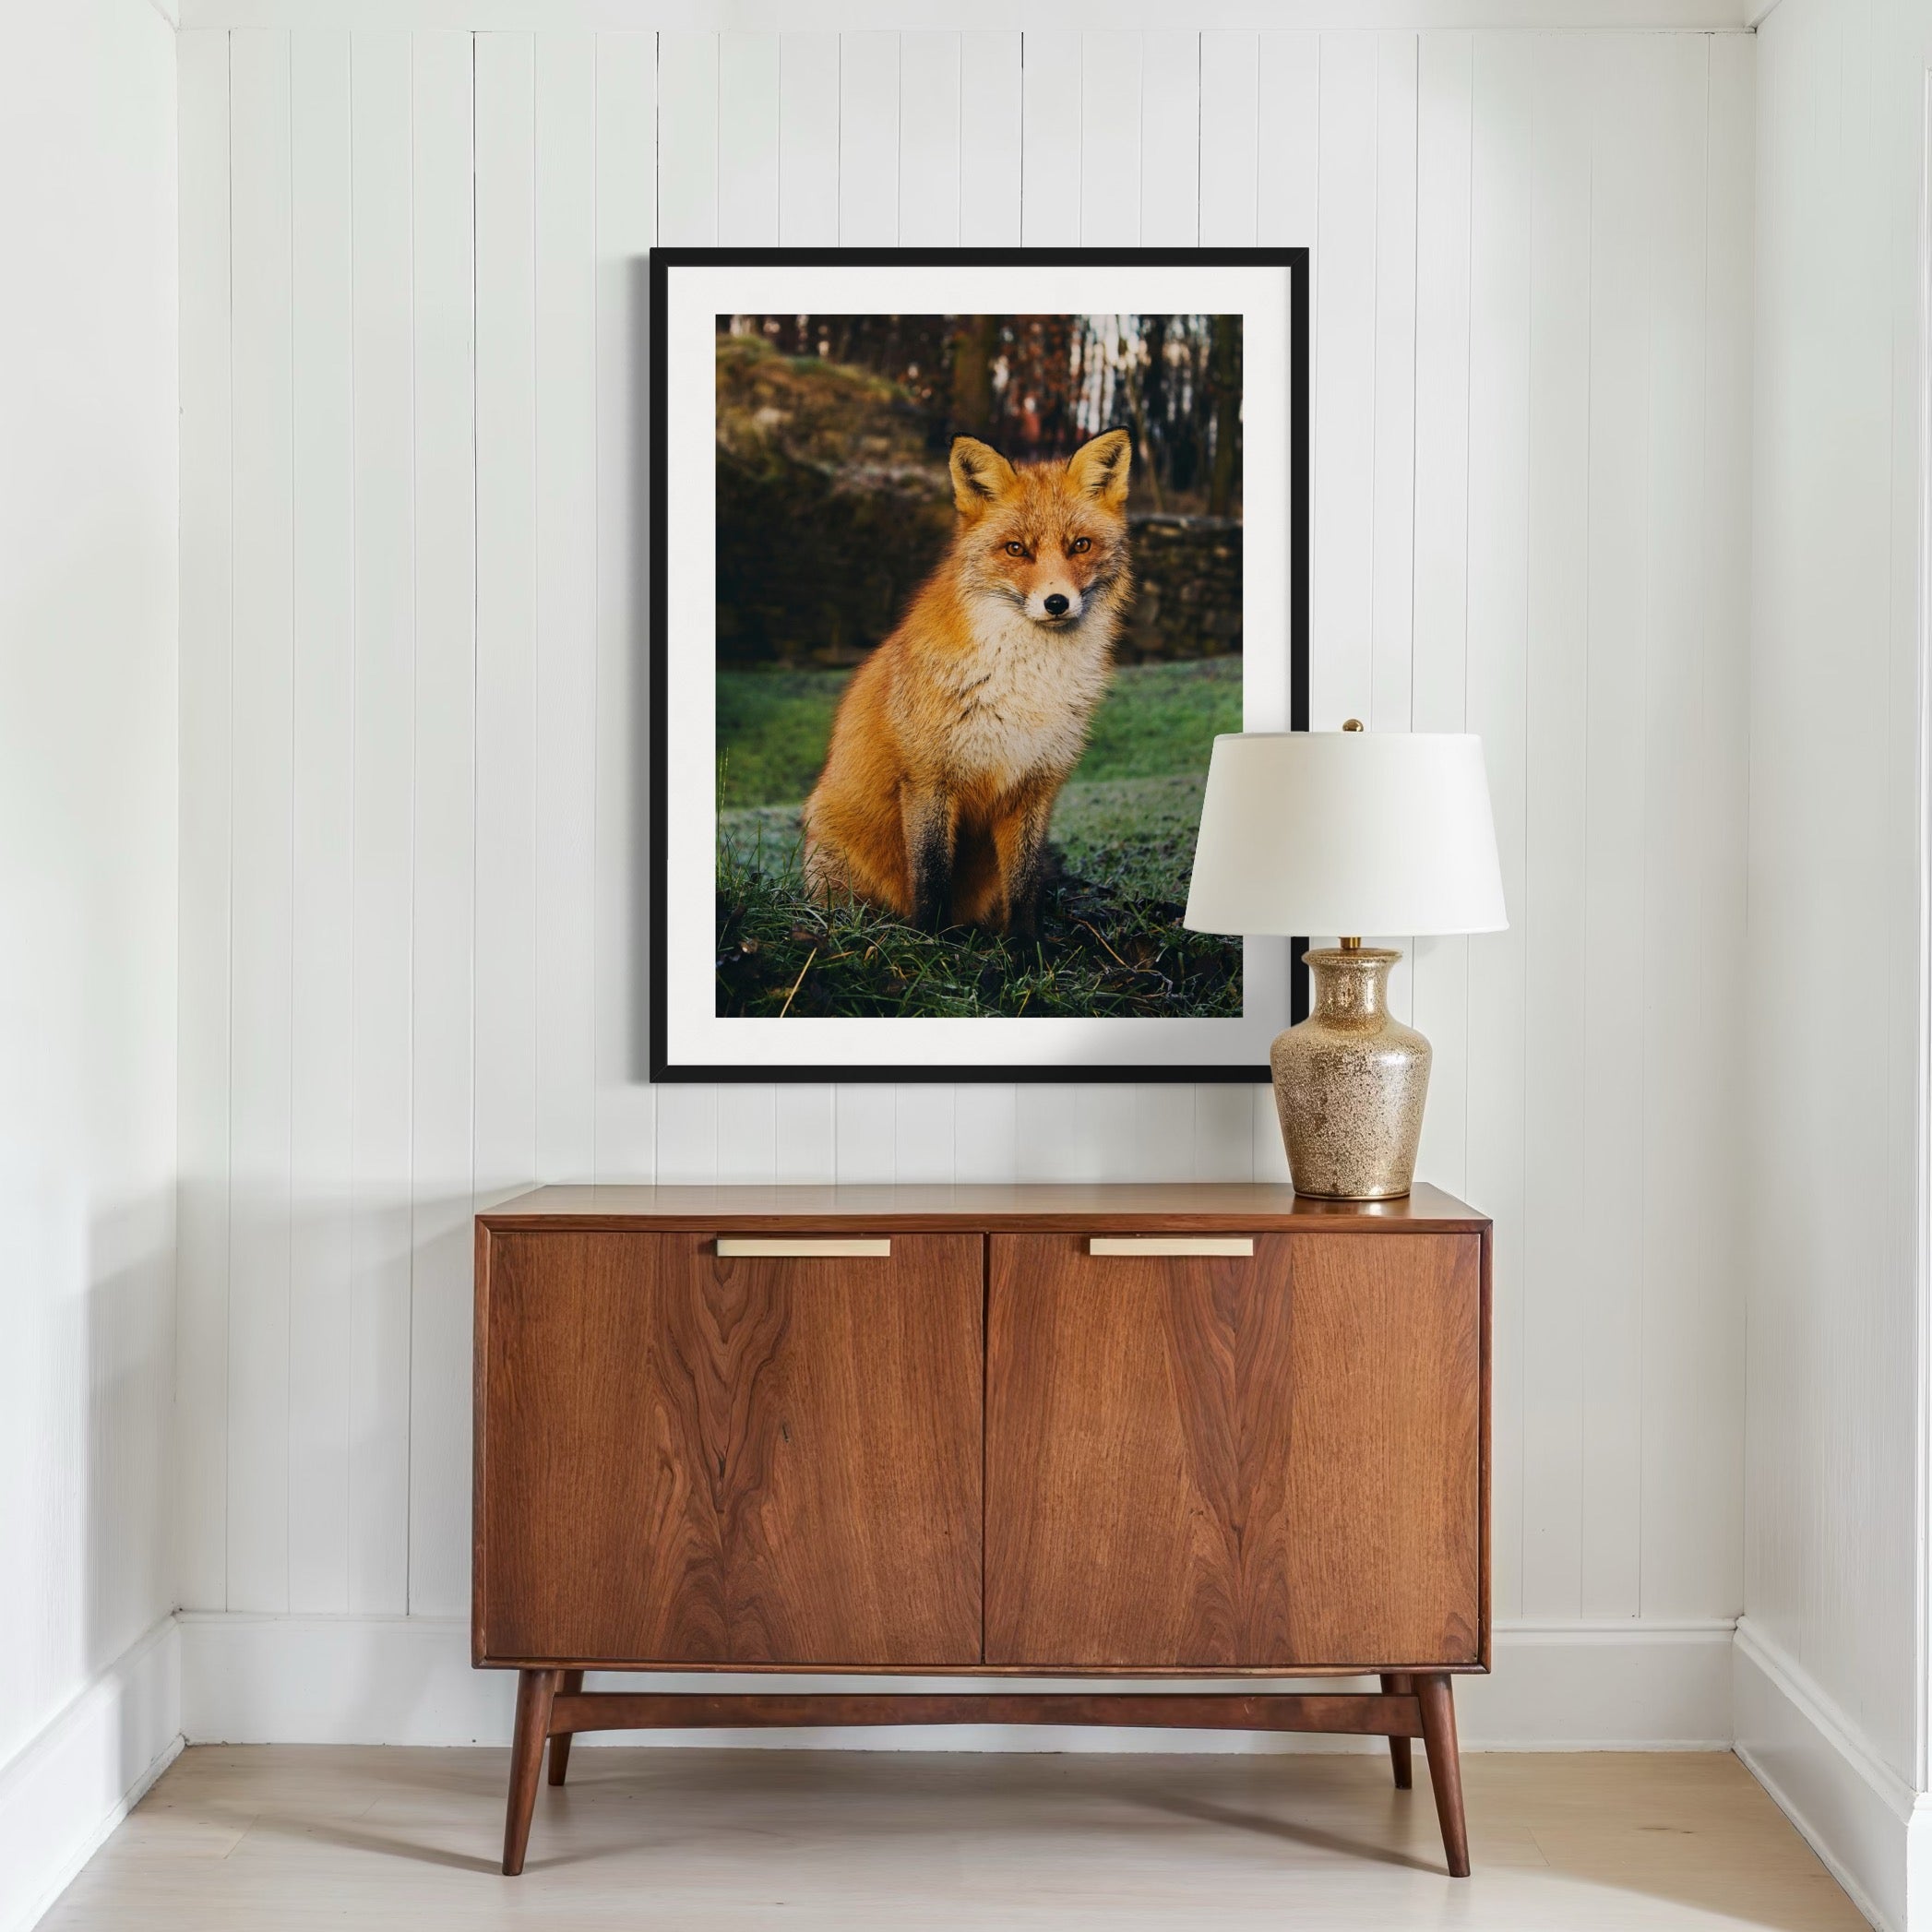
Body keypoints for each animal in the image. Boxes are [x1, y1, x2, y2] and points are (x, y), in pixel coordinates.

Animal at [800, 426, 1134, 938]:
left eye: (1080, 545)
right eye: (1016, 549)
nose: (1057, 602)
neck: (1025, 685)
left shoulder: (1035, 786)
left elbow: (1024, 885)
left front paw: (1026, 948)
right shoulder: (928, 779)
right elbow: (931, 874)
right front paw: (930, 942)